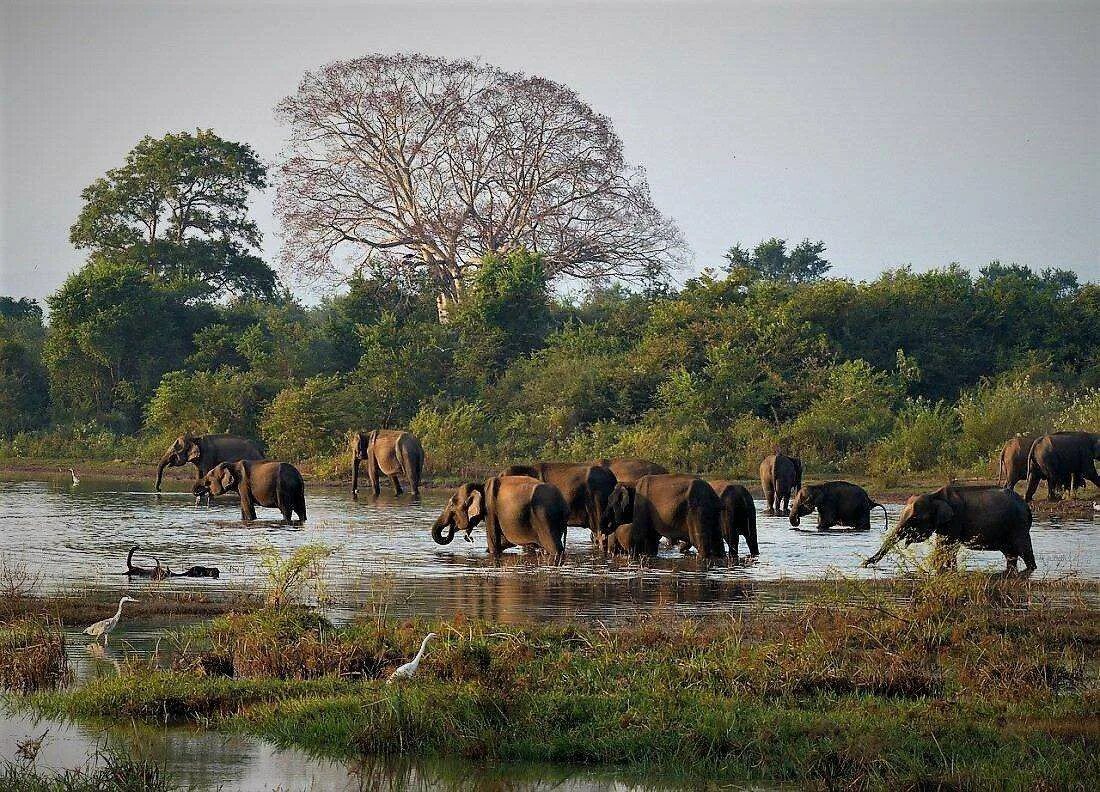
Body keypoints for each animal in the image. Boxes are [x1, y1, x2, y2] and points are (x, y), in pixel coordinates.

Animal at [429, 473, 567, 561]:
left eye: (452, 505)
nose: (469, 538)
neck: (480, 485)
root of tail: (561, 501)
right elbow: (504, 542)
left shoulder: (490, 509)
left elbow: (494, 542)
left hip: (544, 518)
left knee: (555, 548)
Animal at [862, 481, 1034, 576]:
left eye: (915, 519)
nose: (864, 564)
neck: (934, 495)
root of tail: (1026, 506)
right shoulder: (944, 523)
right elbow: (943, 545)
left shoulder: (954, 519)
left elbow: (947, 546)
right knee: (1010, 554)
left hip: (1018, 526)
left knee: (1024, 549)